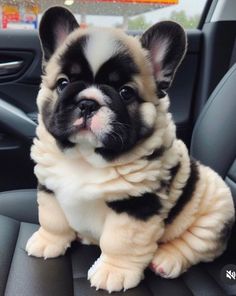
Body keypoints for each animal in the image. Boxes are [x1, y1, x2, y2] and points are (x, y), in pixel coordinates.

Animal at [26, 6, 234, 294]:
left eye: (125, 92)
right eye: (63, 83)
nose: (88, 103)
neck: (85, 158)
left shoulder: (137, 206)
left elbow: (120, 242)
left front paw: (114, 271)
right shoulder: (49, 187)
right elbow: (52, 219)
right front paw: (49, 240)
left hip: (212, 214)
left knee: (196, 244)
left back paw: (167, 259)